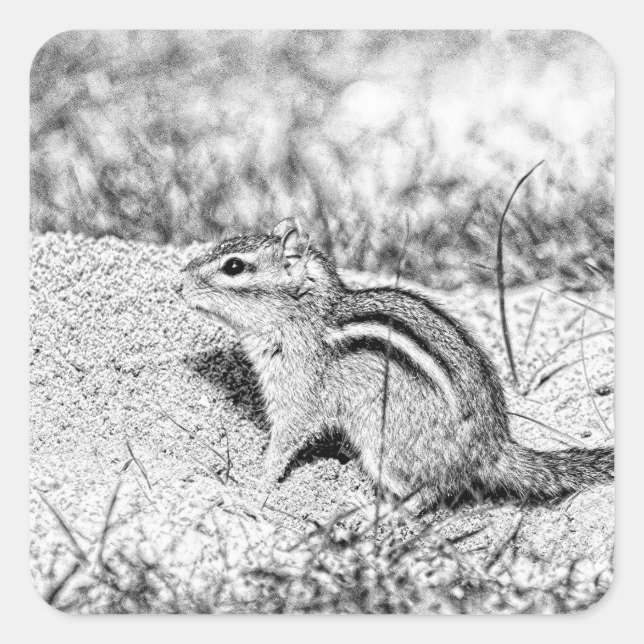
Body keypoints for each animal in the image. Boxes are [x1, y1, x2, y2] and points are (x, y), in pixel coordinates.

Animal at [174, 218, 614, 510]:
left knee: (430, 493)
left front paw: (256, 483)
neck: (305, 317)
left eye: (233, 266)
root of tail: (492, 449)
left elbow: (284, 441)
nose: (177, 284)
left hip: (385, 444)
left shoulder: (297, 396)